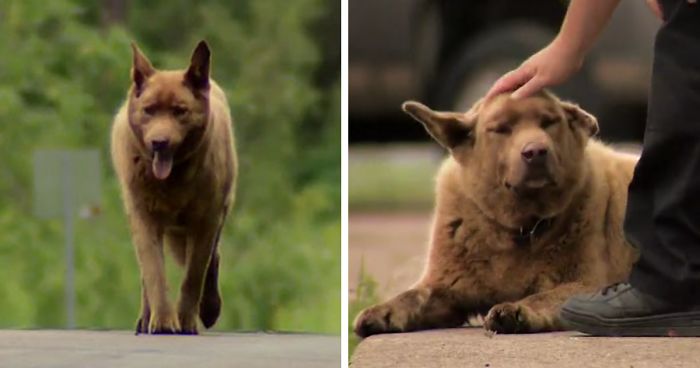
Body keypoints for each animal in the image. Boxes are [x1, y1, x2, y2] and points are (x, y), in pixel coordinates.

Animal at [110, 40, 237, 334]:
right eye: (149, 110)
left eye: (180, 111)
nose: (159, 143)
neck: (173, 181)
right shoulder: (144, 218)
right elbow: (154, 273)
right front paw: (163, 321)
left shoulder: (206, 221)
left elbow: (194, 275)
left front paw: (188, 319)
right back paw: (146, 318)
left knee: (213, 260)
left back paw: (209, 308)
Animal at [356, 90, 640, 334]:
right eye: (501, 129)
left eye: (549, 122)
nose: (536, 151)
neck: (521, 227)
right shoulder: (445, 287)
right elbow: (413, 295)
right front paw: (381, 311)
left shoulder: (589, 284)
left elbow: (543, 297)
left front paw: (516, 310)